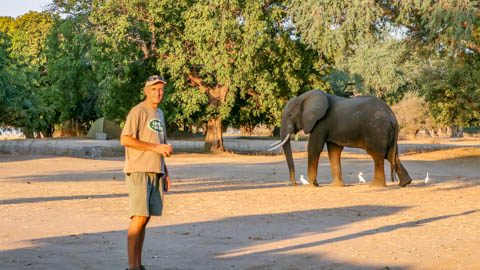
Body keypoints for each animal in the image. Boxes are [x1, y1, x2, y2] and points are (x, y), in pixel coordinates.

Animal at [270, 89, 412, 187]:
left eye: (290, 115)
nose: (295, 184)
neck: (303, 97)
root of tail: (392, 118)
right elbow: (334, 151)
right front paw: (336, 186)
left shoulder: (320, 122)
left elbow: (314, 148)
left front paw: (311, 185)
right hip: (386, 133)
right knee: (391, 155)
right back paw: (405, 183)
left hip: (376, 130)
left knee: (377, 155)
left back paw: (375, 186)